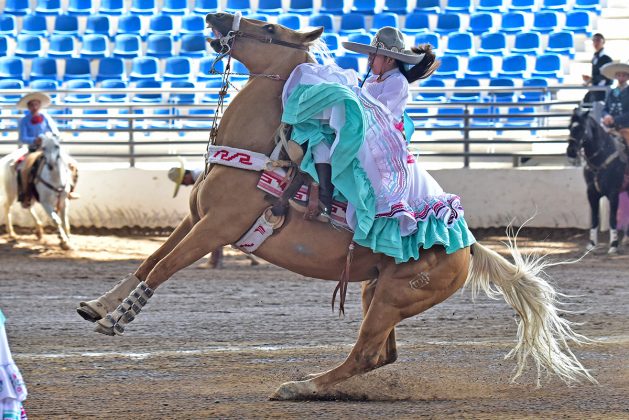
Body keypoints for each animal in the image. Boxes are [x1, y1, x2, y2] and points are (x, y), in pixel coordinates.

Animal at [77, 13, 592, 400]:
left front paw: (118, 321)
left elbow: (166, 268)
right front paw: (97, 306)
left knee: (365, 353)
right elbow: (149, 261)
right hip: (374, 291)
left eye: (269, 28)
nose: (215, 16)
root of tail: (466, 245)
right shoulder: (194, 219)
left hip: (392, 298)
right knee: (382, 355)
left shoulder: (217, 228)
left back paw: (299, 386)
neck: (260, 153)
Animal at [564, 108, 628, 253]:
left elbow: (612, 219)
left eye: (582, 128)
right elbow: (594, 219)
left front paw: (613, 245)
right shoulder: (591, 193)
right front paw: (592, 244)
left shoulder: (613, 193)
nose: (571, 151)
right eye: (569, 127)